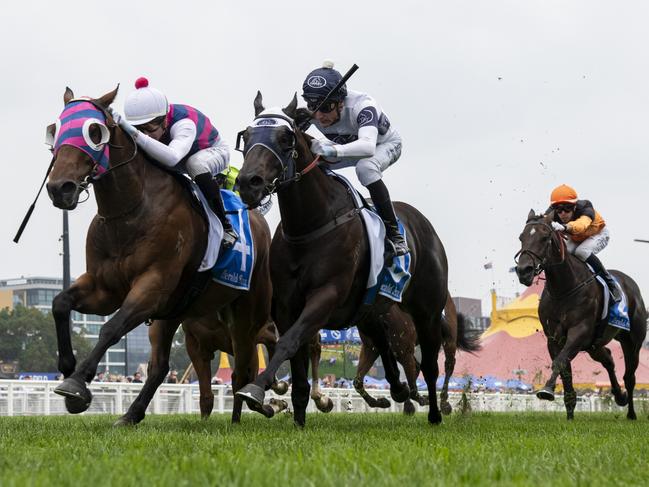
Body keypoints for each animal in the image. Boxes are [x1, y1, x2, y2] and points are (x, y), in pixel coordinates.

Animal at [46, 89, 274, 426]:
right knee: (161, 366)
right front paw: (67, 367)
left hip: (247, 312)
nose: (58, 188)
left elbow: (111, 328)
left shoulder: (152, 285)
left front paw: (76, 384)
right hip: (174, 312)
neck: (130, 211)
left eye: (94, 132)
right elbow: (60, 303)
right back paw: (131, 414)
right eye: (55, 130)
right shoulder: (105, 288)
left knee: (243, 367)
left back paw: (251, 411)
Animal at [234, 96, 450, 428]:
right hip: (371, 308)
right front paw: (298, 419)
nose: (248, 183)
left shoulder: (326, 295)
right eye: (246, 136)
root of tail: (424, 224)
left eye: (285, 138)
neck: (309, 226)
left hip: (427, 311)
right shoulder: (286, 305)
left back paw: (435, 414)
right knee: (384, 343)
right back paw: (398, 390)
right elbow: (296, 361)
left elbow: (288, 343)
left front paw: (255, 389)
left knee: (428, 364)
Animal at [512, 210, 644, 420]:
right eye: (521, 237)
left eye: (545, 238)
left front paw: (546, 390)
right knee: (608, 359)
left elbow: (560, 361)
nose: (524, 271)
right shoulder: (554, 338)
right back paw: (619, 396)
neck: (564, 289)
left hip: (633, 342)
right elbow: (565, 369)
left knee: (630, 377)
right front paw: (570, 414)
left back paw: (631, 413)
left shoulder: (579, 331)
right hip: (594, 344)